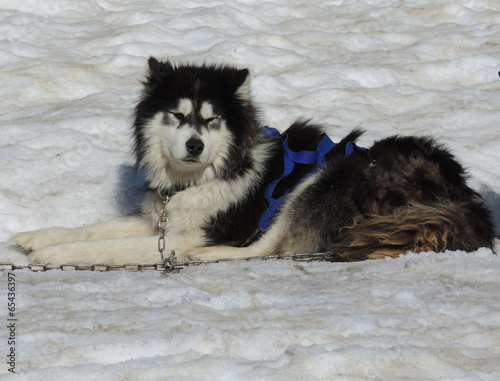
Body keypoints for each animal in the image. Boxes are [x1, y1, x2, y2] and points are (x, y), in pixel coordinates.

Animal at [10, 57, 492, 264]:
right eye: (178, 116)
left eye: (212, 120)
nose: (194, 146)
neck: (198, 178)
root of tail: (465, 201)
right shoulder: (163, 219)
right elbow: (95, 228)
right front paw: (39, 238)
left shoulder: (185, 235)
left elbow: (108, 245)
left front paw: (54, 255)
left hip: (325, 175)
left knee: (268, 248)